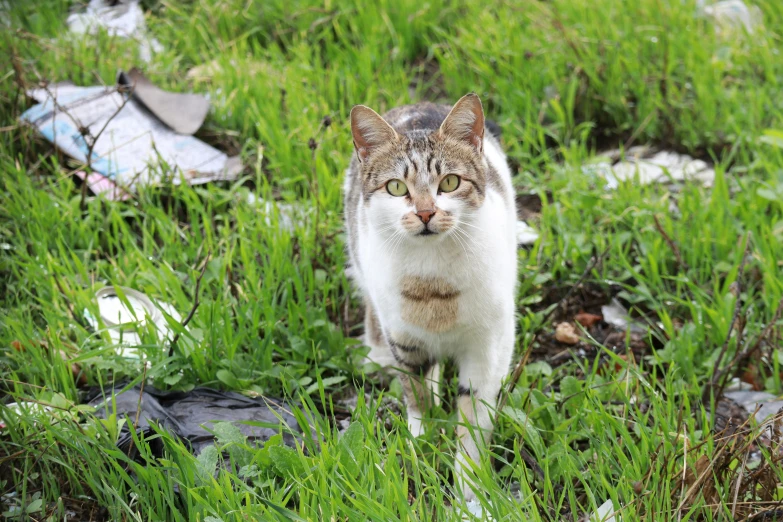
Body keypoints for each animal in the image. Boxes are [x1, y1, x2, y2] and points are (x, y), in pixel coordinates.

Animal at [344, 91, 520, 498]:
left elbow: (474, 415)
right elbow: (417, 398)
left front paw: (469, 484)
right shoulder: (404, 340)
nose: (425, 213)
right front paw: (419, 448)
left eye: (450, 182)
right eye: (396, 187)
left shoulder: (488, 347)